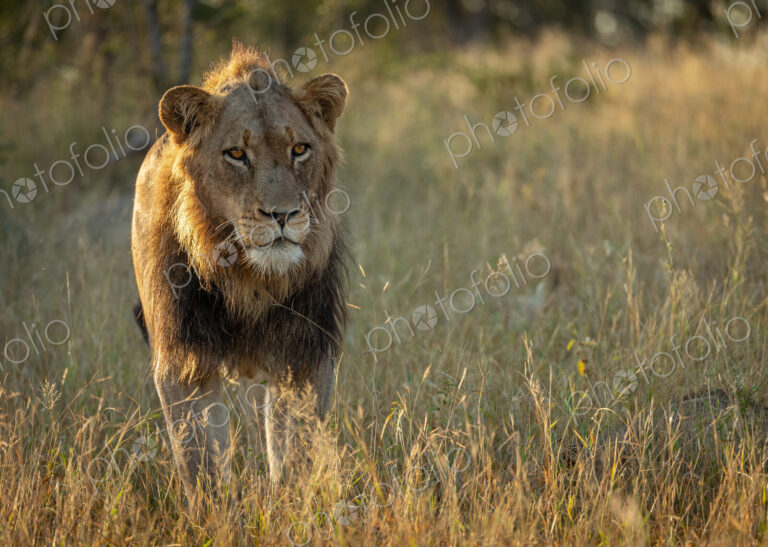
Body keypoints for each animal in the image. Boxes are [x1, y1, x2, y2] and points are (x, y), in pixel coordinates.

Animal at [130, 42, 348, 505]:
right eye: (236, 154)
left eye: (299, 149)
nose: (283, 214)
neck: (249, 279)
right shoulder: (183, 362)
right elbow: (201, 464)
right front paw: (216, 514)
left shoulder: (305, 357)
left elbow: (296, 453)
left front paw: (293, 507)